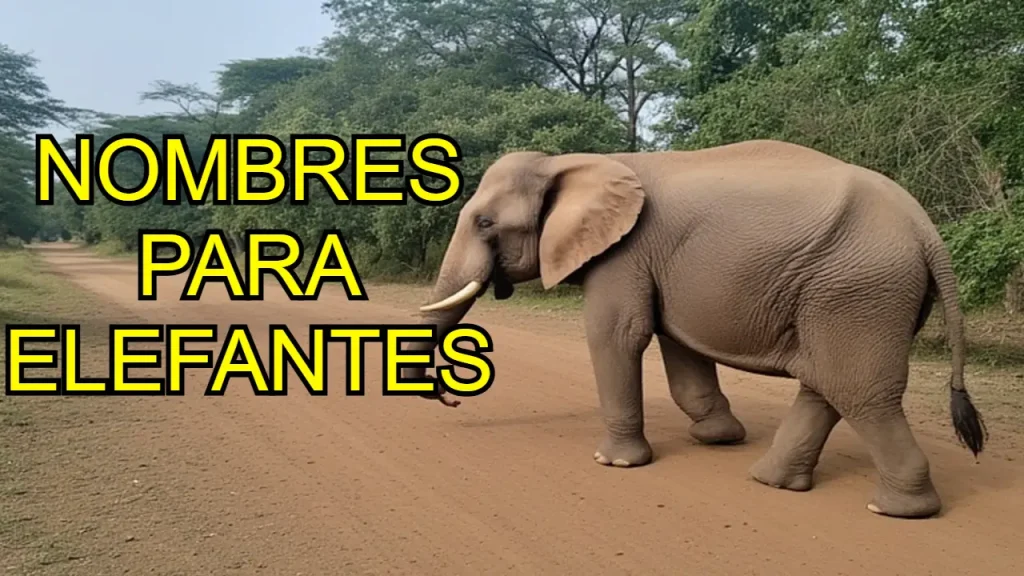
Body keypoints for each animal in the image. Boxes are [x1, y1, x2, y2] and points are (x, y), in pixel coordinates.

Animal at [407, 139, 987, 519]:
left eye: (485, 223)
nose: (451, 396)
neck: (568, 160)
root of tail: (926, 229)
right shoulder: (656, 264)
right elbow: (677, 343)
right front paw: (718, 438)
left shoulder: (626, 252)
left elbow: (617, 334)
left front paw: (615, 463)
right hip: (858, 293)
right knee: (828, 382)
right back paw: (772, 482)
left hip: (857, 287)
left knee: (858, 390)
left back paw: (895, 510)